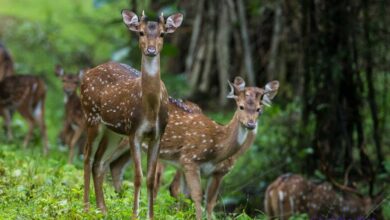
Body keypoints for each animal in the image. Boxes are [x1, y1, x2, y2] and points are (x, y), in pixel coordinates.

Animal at [80, 9, 184, 218]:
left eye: (162, 34)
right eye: (141, 33)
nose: (151, 50)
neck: (150, 109)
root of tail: (87, 74)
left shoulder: (158, 135)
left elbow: (151, 178)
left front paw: (150, 215)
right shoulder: (134, 131)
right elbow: (138, 176)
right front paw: (135, 214)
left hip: (112, 131)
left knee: (99, 162)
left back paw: (103, 209)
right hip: (91, 116)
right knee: (87, 157)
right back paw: (86, 207)